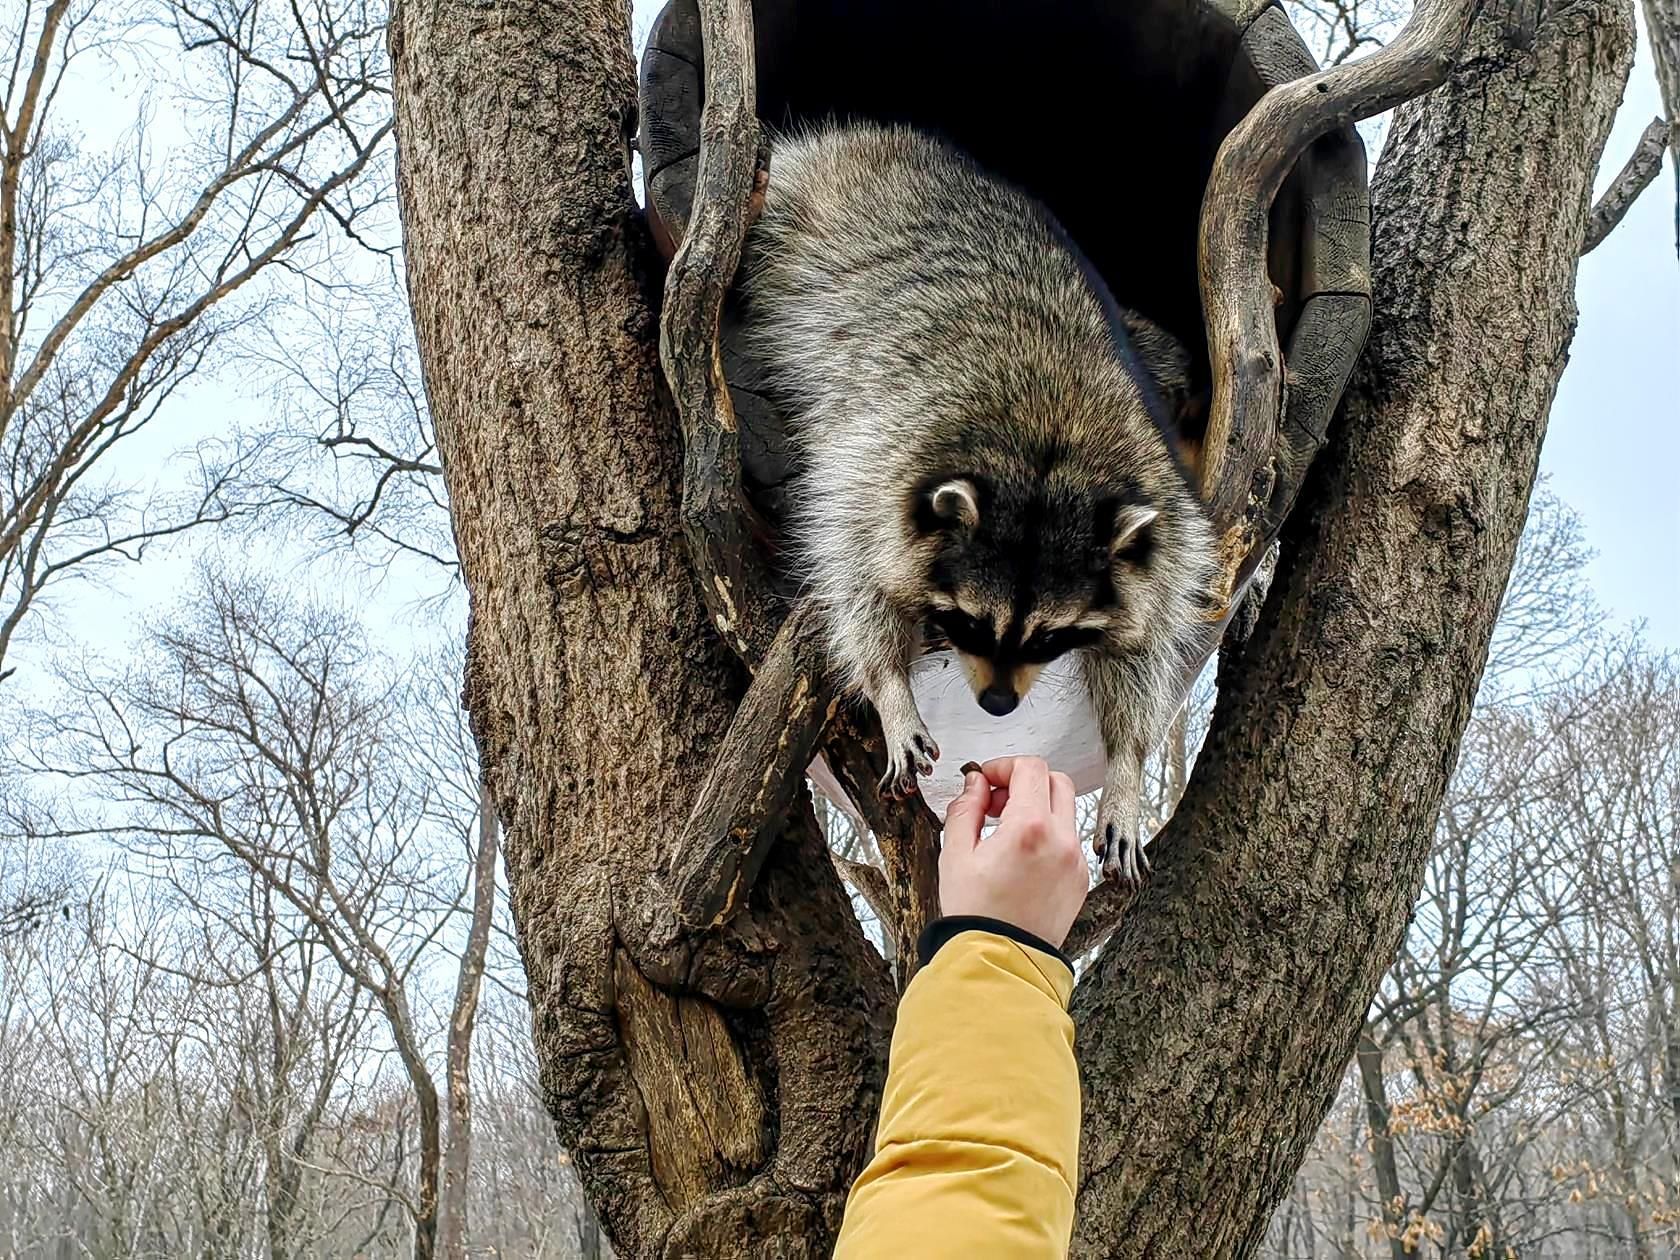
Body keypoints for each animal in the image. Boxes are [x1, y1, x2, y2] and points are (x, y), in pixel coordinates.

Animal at [742, 120, 1216, 887]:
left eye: (1052, 639)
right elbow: (851, 580)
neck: (1046, 460)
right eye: (964, 621)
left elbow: (1141, 648)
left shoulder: (1162, 526)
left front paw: (1126, 764)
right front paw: (890, 686)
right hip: (792, 213)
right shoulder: (872, 464)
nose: (997, 705)